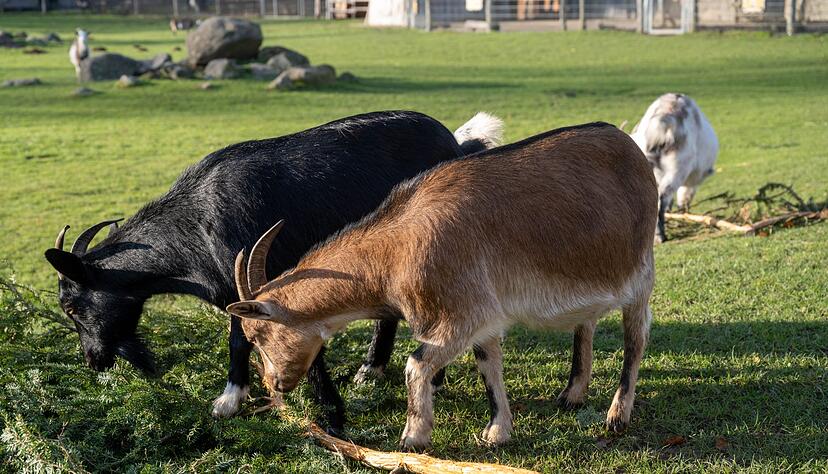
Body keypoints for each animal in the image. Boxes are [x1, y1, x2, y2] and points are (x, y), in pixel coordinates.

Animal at [44, 111, 503, 433]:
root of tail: (456, 143)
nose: (93, 360)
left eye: (72, 308)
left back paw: (431, 378)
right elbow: (241, 340)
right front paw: (234, 399)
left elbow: (264, 340)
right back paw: (371, 371)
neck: (196, 224)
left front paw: (328, 415)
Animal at [227, 122, 657, 451]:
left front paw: (413, 438)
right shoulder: (483, 315)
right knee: (586, 325)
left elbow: (416, 365)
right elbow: (488, 366)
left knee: (635, 340)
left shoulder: (460, 313)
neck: (395, 250)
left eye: (258, 333)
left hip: (640, 275)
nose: (275, 383)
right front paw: (497, 432)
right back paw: (572, 394)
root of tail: (630, 147)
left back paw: (617, 416)